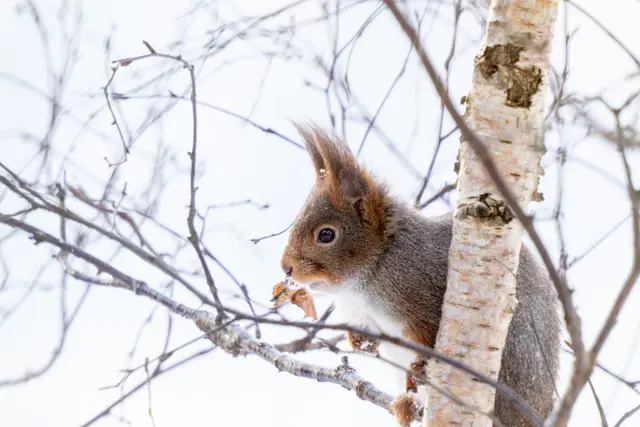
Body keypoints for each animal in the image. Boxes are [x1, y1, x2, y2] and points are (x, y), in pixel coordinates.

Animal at [280, 123, 562, 427]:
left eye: (326, 235)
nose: (286, 267)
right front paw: (360, 342)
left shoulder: (419, 292)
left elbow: (428, 335)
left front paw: (418, 368)